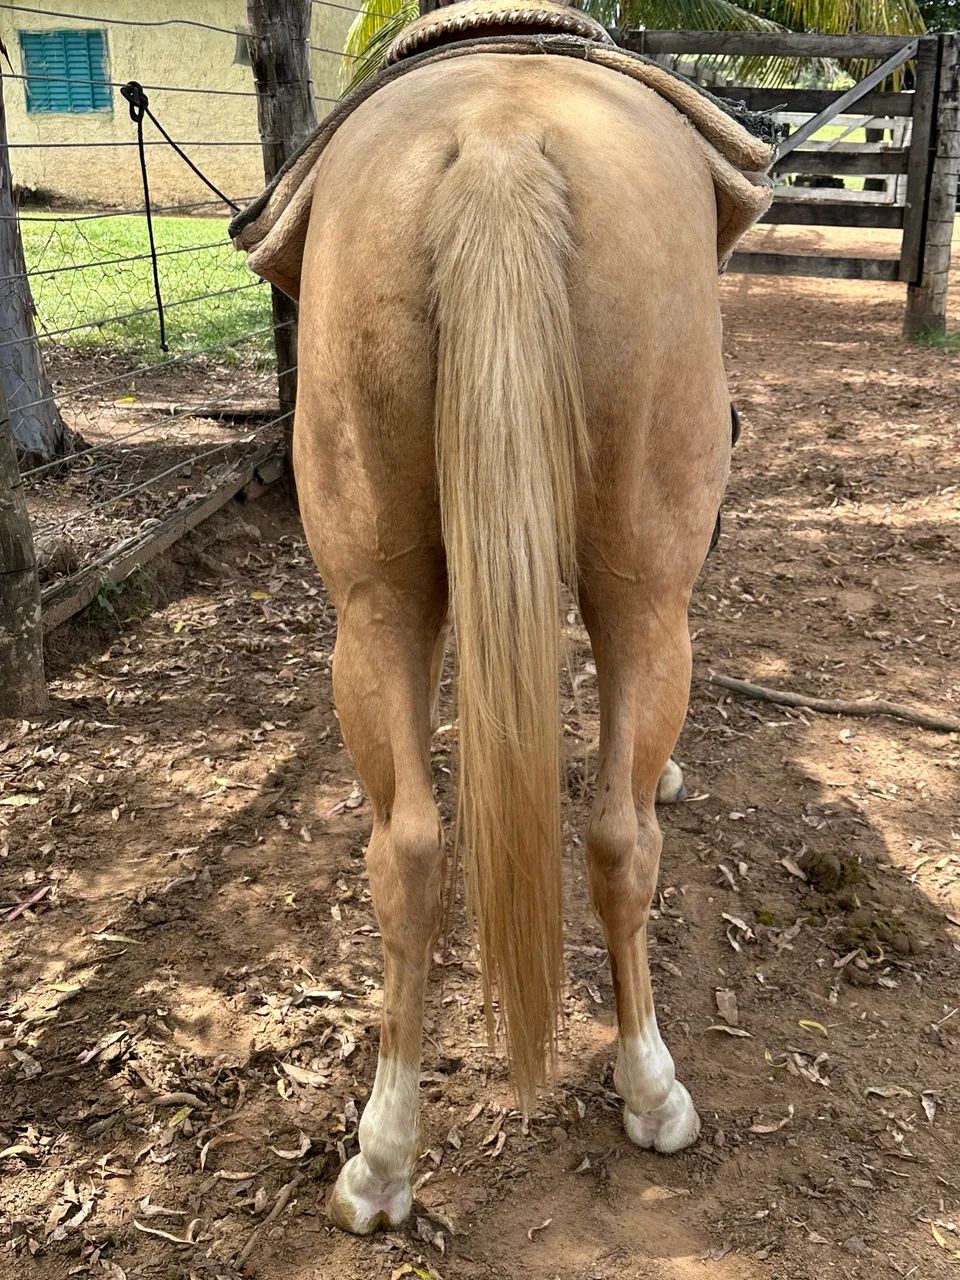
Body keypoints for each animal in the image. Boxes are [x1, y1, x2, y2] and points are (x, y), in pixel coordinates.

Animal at [287, 46, 732, 1235]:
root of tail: (499, 137)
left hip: (376, 599)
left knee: (411, 847)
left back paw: (383, 1157)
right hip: (645, 591)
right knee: (622, 834)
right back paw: (652, 1088)